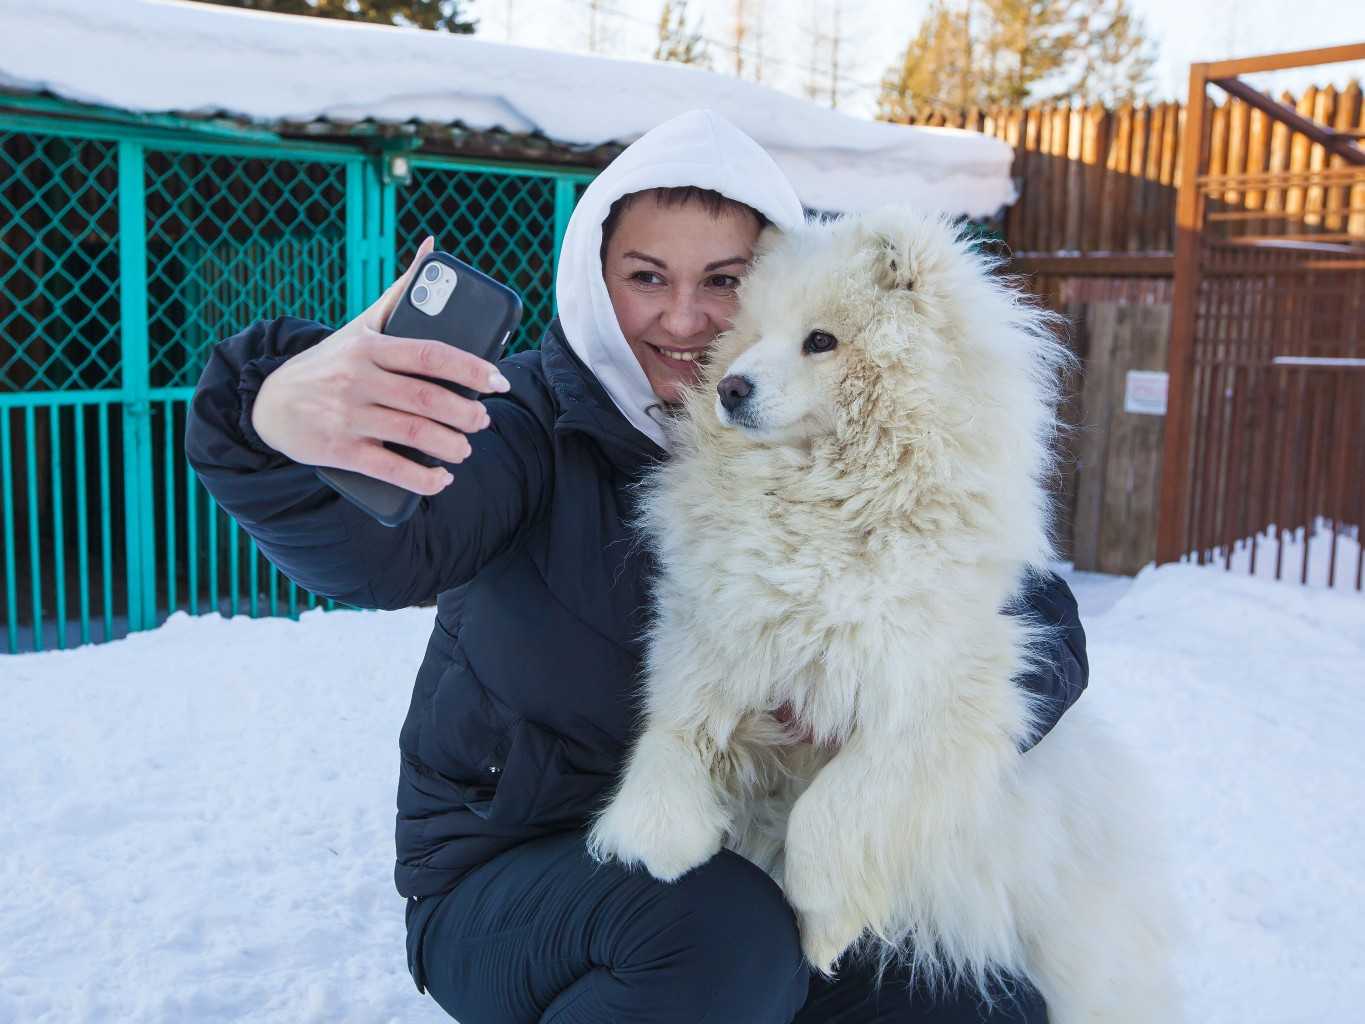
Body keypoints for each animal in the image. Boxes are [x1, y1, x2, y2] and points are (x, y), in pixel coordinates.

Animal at [592, 208, 1179, 1024]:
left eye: (820, 341)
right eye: (752, 336)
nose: (730, 387)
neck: (821, 510)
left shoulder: (932, 710)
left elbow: (829, 813)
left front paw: (820, 929)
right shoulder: (711, 643)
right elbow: (673, 734)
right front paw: (656, 838)